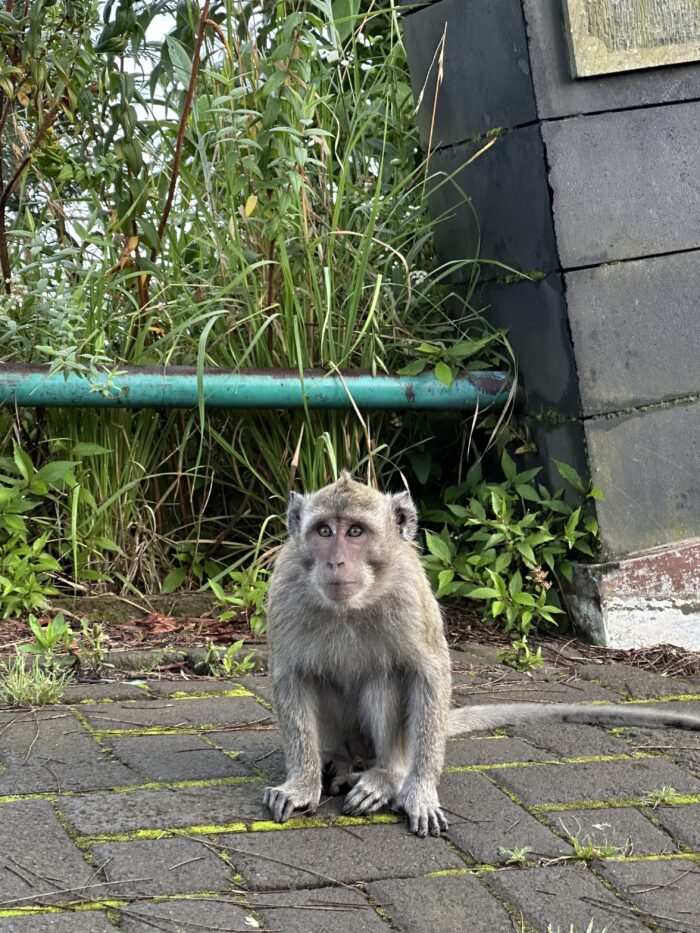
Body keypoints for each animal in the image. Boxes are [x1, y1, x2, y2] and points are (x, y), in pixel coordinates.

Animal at [263, 472, 700, 837]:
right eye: (323, 531)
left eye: (355, 531)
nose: (336, 560)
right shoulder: (284, 587)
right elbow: (289, 676)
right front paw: (302, 784)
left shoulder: (409, 590)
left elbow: (430, 673)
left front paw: (419, 791)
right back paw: (335, 761)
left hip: (398, 741)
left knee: (382, 680)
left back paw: (386, 775)